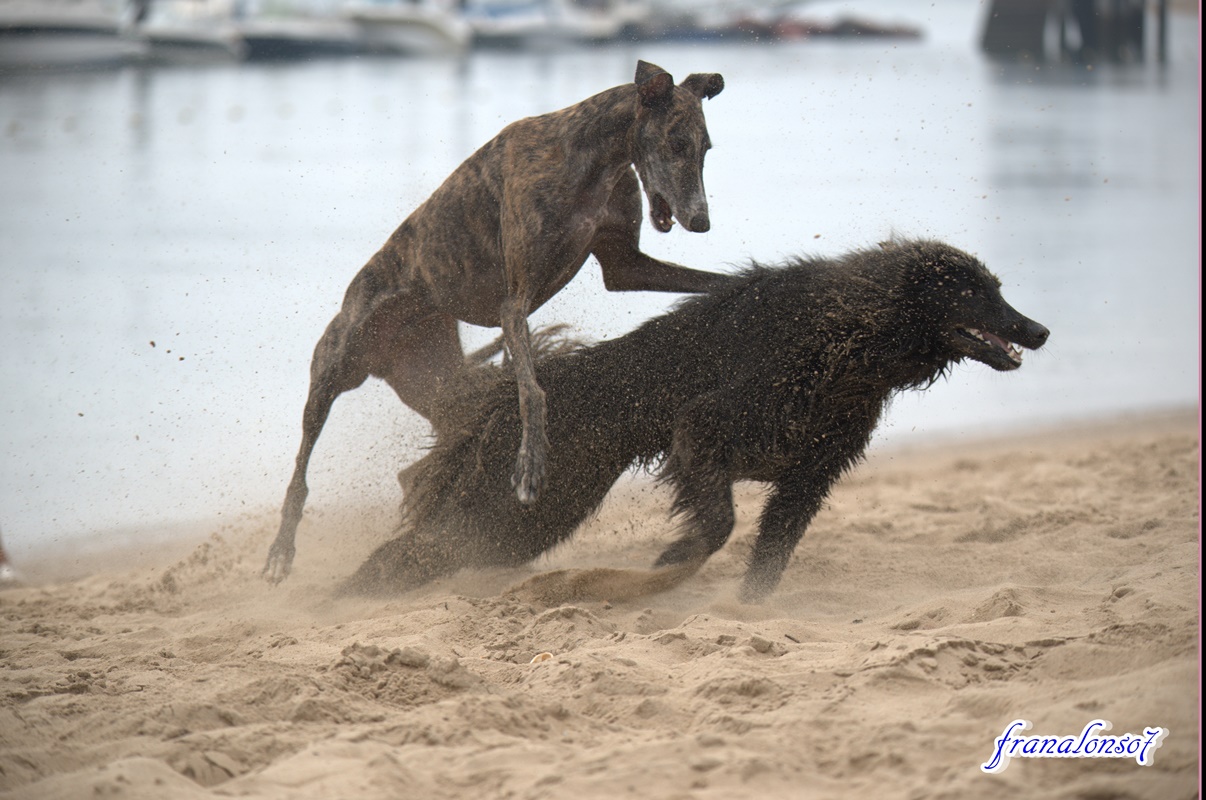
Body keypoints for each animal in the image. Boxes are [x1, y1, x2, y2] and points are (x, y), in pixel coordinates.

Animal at [265, 57, 728, 581]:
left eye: (706, 147)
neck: (589, 152)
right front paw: (530, 468)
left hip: (444, 384)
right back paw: (281, 551)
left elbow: (715, 280)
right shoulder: (515, 303)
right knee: (301, 468)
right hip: (339, 364)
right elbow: (532, 392)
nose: (701, 222)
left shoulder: (625, 268)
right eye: (676, 143)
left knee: (420, 462)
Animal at [342, 241, 1046, 603]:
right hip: (527, 502)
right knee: (421, 548)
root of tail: (499, 402)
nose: (1037, 330)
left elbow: (768, 553)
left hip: (535, 513)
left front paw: (744, 610)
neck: (852, 337)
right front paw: (672, 561)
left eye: (997, 287)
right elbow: (718, 523)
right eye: (974, 291)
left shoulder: (810, 473)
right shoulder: (705, 429)